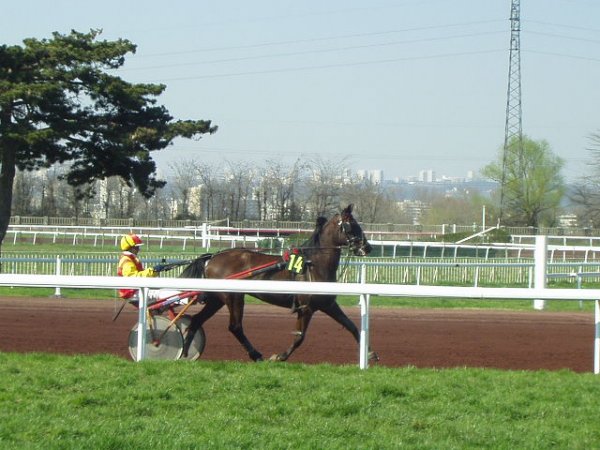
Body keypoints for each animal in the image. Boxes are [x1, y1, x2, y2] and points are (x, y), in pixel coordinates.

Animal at [178, 204, 378, 362]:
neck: (314, 264)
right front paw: (280, 356)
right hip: (233, 297)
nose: (367, 247)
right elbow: (299, 338)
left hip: (217, 298)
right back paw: (256, 354)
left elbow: (353, 327)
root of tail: (212, 257)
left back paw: (185, 354)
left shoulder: (327, 304)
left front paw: (370, 354)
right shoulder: (306, 308)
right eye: (352, 225)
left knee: (196, 321)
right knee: (235, 327)